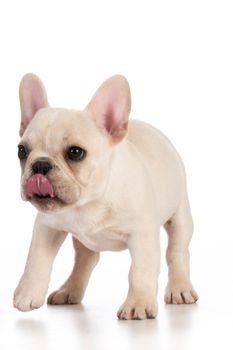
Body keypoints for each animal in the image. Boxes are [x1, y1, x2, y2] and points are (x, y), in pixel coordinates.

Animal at [13, 74, 198, 320]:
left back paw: (180, 289)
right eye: (22, 151)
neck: (89, 202)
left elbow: (139, 271)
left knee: (177, 252)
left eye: (75, 152)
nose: (40, 165)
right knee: (86, 260)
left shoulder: (142, 236)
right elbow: (36, 259)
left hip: (180, 216)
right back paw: (69, 290)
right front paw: (28, 292)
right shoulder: (48, 225)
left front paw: (138, 303)